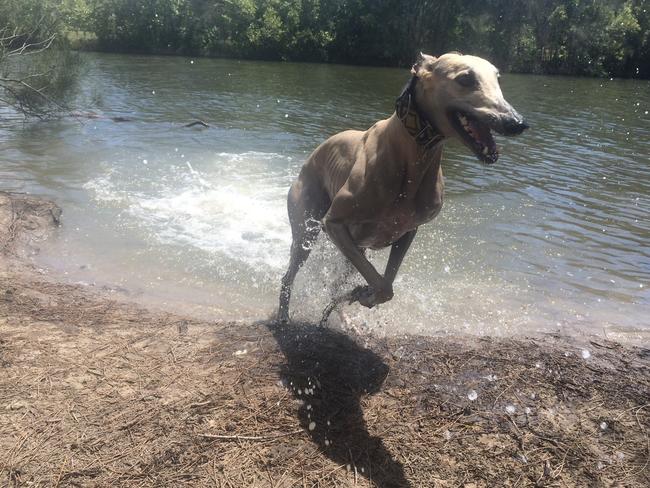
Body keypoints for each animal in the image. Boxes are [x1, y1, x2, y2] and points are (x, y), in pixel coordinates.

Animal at [278, 51, 528, 322]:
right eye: (465, 79)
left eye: (498, 78)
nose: (517, 122)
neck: (411, 160)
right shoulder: (333, 223)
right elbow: (380, 283)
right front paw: (362, 294)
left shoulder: (407, 231)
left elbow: (385, 285)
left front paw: (361, 295)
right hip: (307, 229)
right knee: (289, 275)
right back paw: (283, 316)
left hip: (353, 249)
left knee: (337, 281)